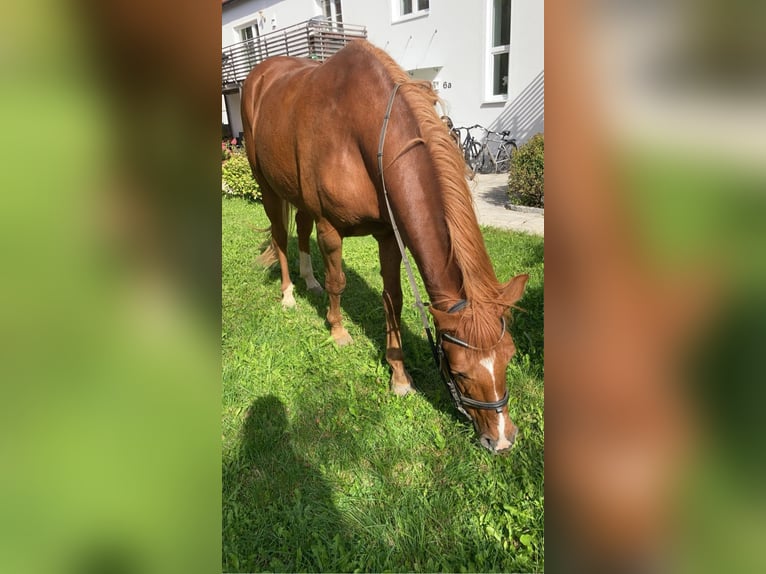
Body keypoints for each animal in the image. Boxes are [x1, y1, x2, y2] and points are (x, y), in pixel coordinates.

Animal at [243, 40, 532, 454]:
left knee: (300, 230)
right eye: (459, 371)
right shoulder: (331, 228)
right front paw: (338, 331)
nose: (503, 440)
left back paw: (309, 281)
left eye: (509, 356)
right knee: (282, 237)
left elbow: (392, 300)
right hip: (266, 185)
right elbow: (339, 282)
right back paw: (289, 294)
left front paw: (399, 376)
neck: (362, 128)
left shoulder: (389, 235)